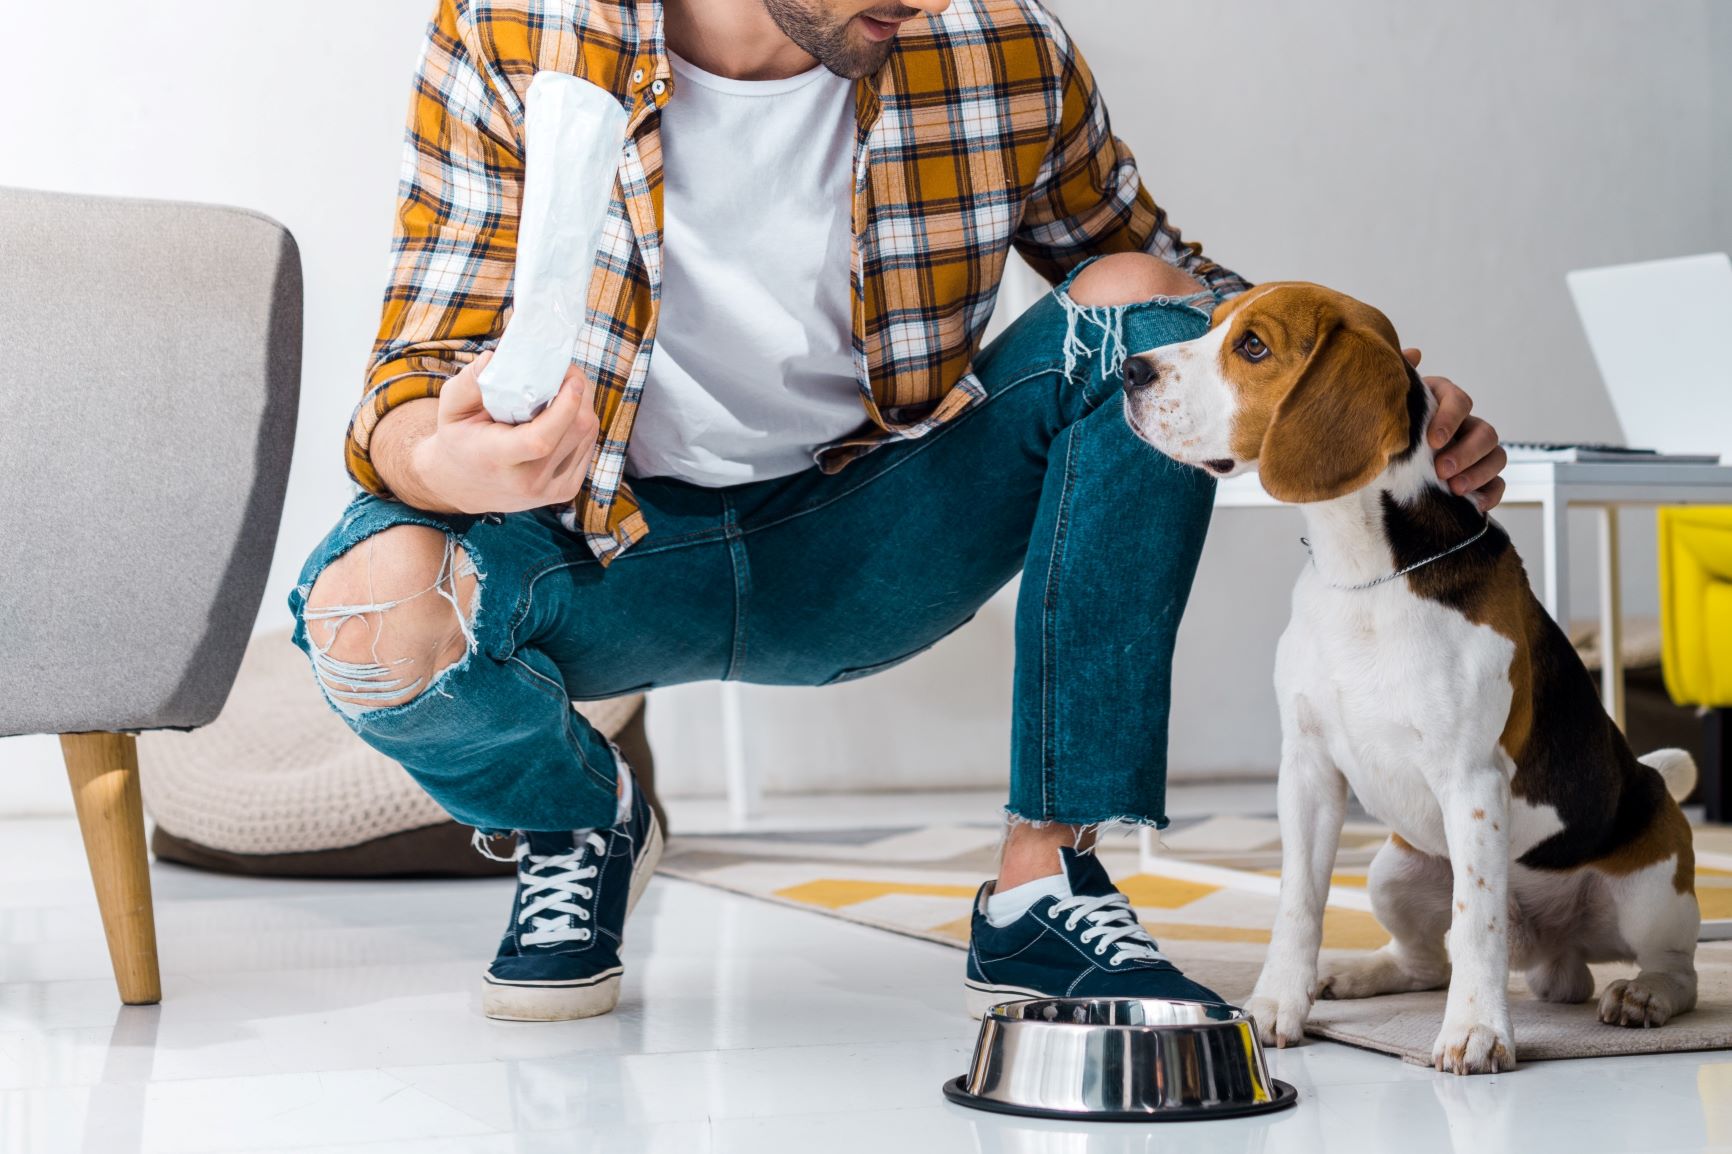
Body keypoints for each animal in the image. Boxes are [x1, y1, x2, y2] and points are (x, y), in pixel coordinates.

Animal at [1122, 282, 1704, 1074]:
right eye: (1210, 325)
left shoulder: (1472, 781)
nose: (1127, 370)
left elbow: (1478, 918)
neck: (1366, 572)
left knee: (1677, 967)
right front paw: (1277, 1004)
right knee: (1431, 960)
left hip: (1651, 885)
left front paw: (1477, 1032)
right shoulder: (1306, 770)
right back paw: (1358, 974)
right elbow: (1298, 903)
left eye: (1253, 346)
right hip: (1394, 871)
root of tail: (1553, 953)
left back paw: (1643, 995)